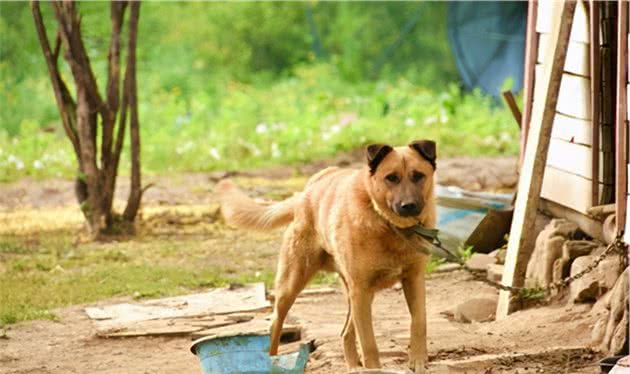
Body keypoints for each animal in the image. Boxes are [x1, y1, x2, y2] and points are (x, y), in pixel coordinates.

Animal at [215, 140, 436, 372]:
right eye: (391, 177)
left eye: (418, 175)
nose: (409, 206)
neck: (390, 226)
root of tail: (308, 190)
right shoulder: (361, 289)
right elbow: (368, 343)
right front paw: (374, 368)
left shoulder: (413, 280)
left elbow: (419, 322)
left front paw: (418, 361)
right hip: (293, 284)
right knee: (276, 323)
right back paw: (272, 360)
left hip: (358, 294)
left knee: (345, 332)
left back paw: (353, 367)